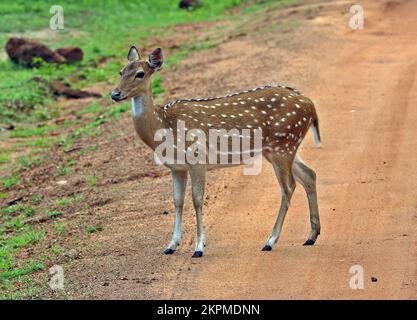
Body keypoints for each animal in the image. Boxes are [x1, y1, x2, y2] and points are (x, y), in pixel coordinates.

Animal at [109, 47, 320, 258]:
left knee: (288, 186)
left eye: (140, 74)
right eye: (121, 71)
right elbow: (177, 201)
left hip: (283, 144)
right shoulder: (177, 168)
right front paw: (170, 245)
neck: (163, 127)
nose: (115, 93)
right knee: (309, 174)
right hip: (280, 148)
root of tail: (311, 105)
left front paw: (198, 247)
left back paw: (270, 241)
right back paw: (311, 236)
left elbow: (197, 200)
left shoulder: (197, 158)